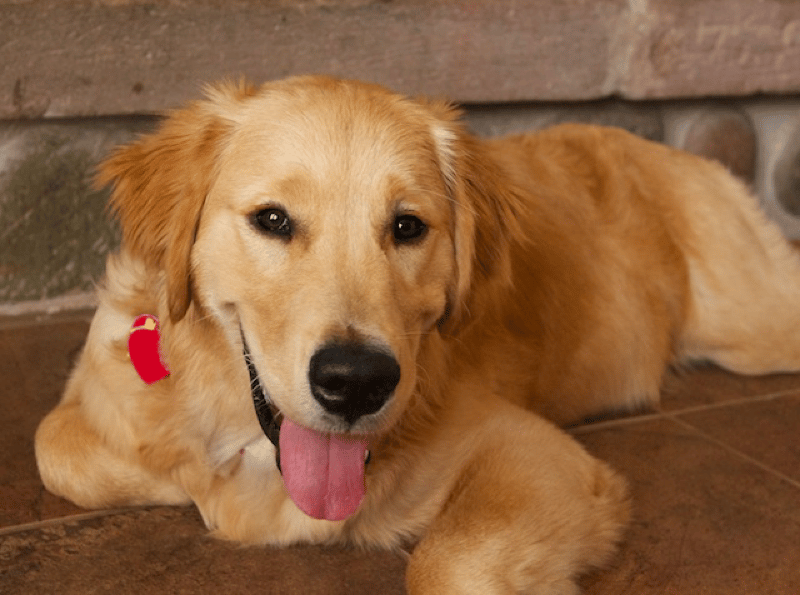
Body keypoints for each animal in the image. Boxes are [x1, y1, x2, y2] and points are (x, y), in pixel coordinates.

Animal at [37, 77, 800, 592]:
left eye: (407, 226)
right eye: (272, 219)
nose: (355, 383)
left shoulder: (537, 452)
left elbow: (449, 562)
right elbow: (60, 449)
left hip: (756, 324)